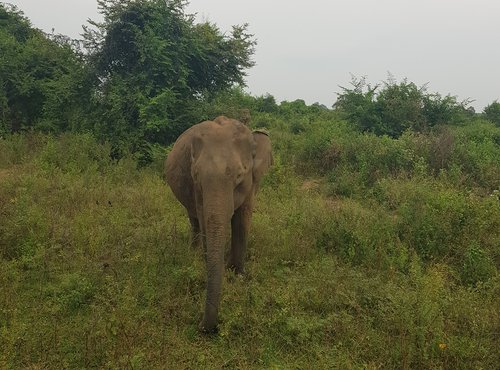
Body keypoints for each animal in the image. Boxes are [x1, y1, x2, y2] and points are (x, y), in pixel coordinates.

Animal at [165, 115, 274, 332]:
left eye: (239, 175)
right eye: (196, 175)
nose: (202, 326)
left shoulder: (251, 184)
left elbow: (243, 219)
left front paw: (238, 274)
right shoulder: (196, 188)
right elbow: (204, 217)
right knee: (194, 219)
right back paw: (194, 253)